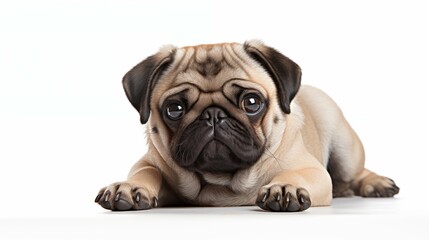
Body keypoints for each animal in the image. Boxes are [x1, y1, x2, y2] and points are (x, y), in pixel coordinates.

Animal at [93, 41, 398, 212]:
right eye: (174, 109)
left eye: (252, 102)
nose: (213, 115)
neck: (223, 182)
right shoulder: (150, 162)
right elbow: (145, 172)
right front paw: (130, 187)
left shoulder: (313, 171)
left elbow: (297, 174)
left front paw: (284, 187)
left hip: (344, 148)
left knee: (355, 173)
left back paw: (377, 184)